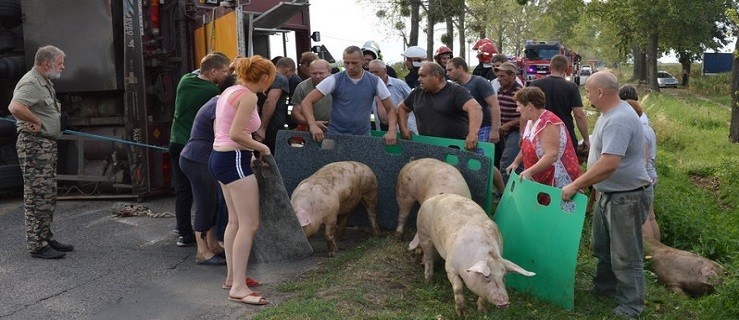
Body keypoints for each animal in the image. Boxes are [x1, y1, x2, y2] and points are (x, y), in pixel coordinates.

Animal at [408, 192, 536, 316]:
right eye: (486, 276)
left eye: (504, 277)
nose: (504, 303)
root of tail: (437, 196)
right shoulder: (450, 267)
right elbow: (458, 287)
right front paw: (462, 313)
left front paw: (482, 311)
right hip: (424, 233)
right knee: (429, 257)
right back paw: (428, 282)